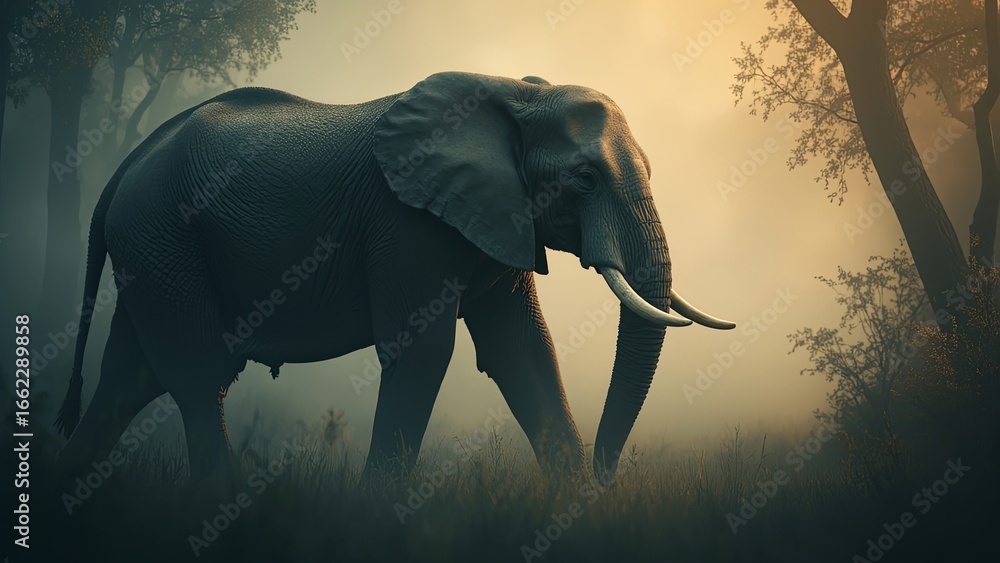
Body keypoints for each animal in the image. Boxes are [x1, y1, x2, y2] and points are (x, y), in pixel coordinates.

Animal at [55, 71, 734, 483]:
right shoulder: (408, 226)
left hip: (153, 253)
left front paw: (578, 513)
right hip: (163, 235)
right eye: (585, 179)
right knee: (198, 378)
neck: (512, 91)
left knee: (127, 382)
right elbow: (424, 352)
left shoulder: (498, 218)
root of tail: (124, 168)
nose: (606, 475)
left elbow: (523, 352)